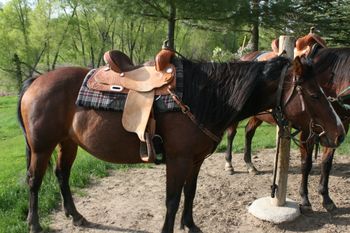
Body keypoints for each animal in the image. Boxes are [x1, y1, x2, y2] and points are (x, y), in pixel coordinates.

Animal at [17, 55, 344, 233]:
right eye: (313, 94)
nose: (340, 132)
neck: (203, 97)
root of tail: (36, 81)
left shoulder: (195, 160)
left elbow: (190, 192)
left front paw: (191, 224)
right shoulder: (178, 160)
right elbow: (172, 200)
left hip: (67, 143)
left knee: (62, 176)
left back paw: (76, 216)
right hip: (42, 146)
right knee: (34, 181)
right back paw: (34, 224)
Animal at [224, 32, 350, 211]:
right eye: (314, 96)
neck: (332, 81)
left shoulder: (337, 128)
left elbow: (326, 163)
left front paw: (326, 198)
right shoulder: (308, 131)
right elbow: (306, 163)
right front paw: (305, 199)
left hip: (258, 116)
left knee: (248, 132)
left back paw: (250, 165)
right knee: (231, 133)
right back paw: (229, 165)